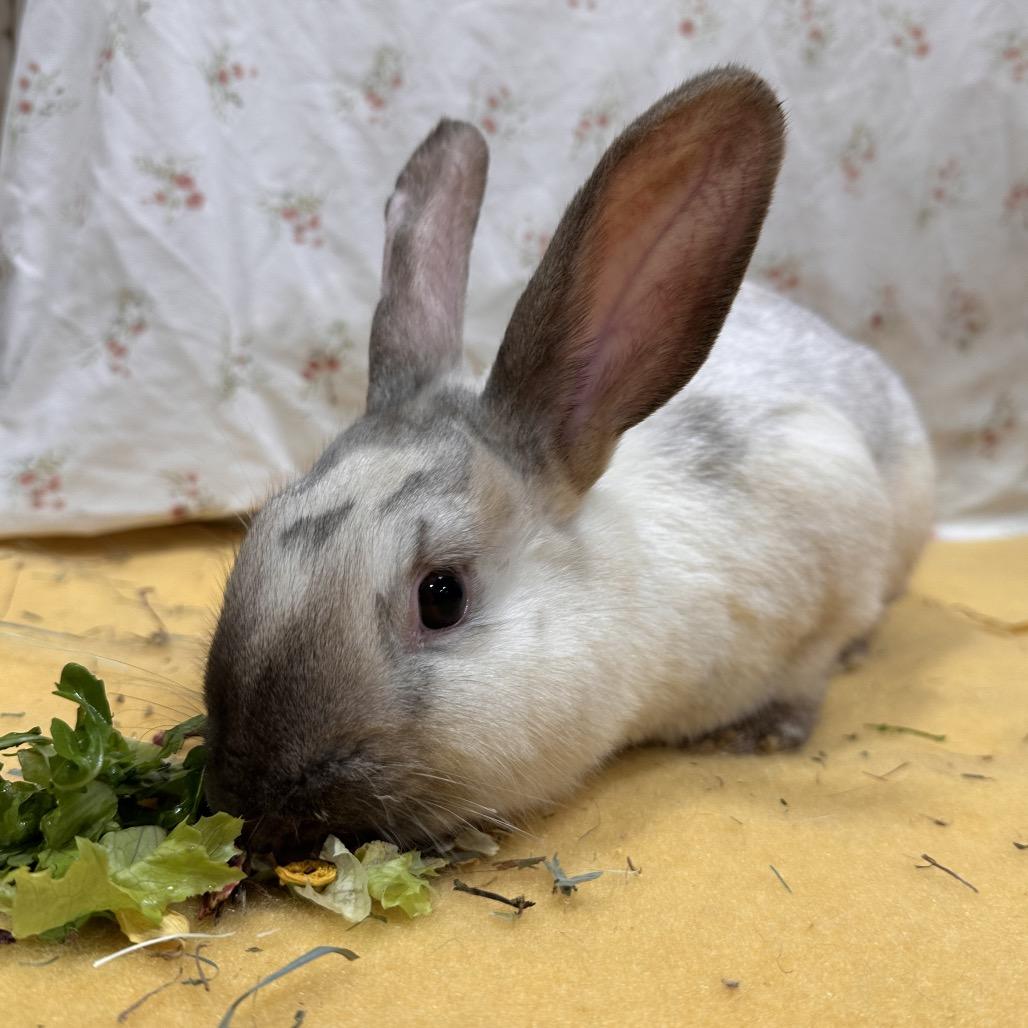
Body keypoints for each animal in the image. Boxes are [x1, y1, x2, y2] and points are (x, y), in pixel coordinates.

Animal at [202, 67, 934, 853]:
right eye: (255, 532)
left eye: (441, 597)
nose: (251, 791)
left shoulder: (830, 528)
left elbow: (811, 671)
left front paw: (769, 732)